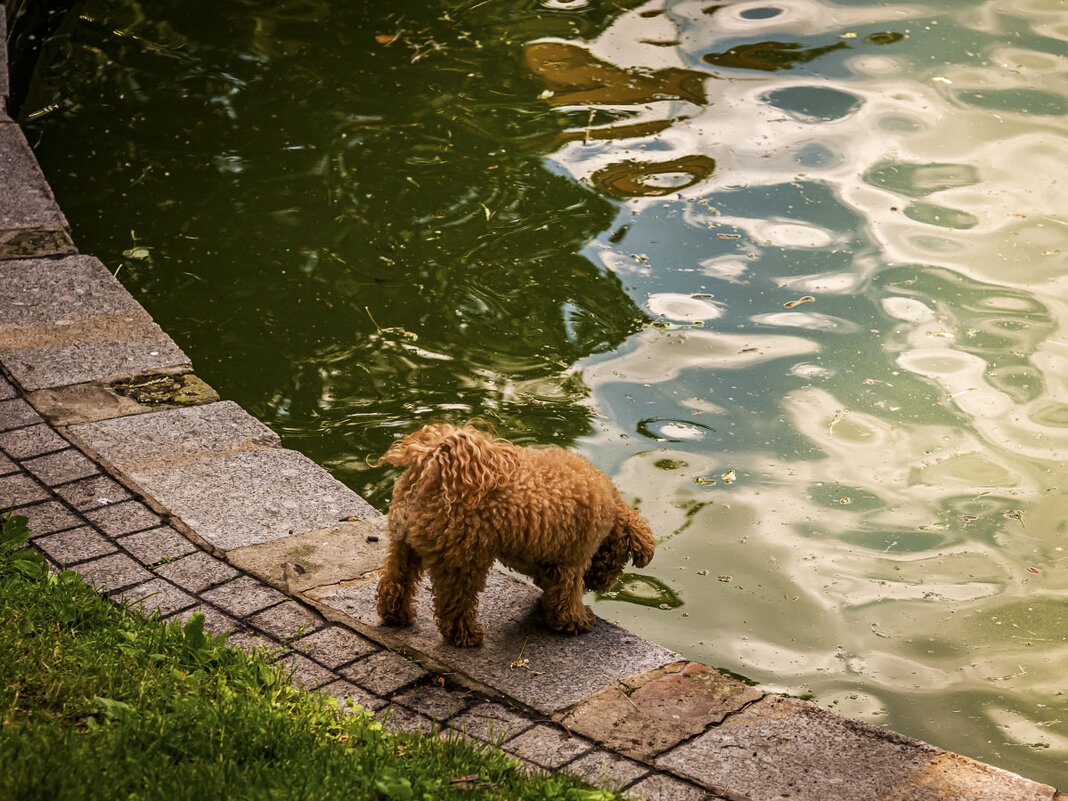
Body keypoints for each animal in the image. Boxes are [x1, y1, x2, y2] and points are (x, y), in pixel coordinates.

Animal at [375, 422, 657, 649]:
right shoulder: (571, 562)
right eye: (621, 560)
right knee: (453, 605)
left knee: (394, 583)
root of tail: (435, 464)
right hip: (463, 560)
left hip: (403, 545)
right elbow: (566, 598)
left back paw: (396, 615)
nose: (603, 586)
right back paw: (466, 636)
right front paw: (577, 621)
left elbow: (550, 586)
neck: (611, 510)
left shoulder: (548, 556)